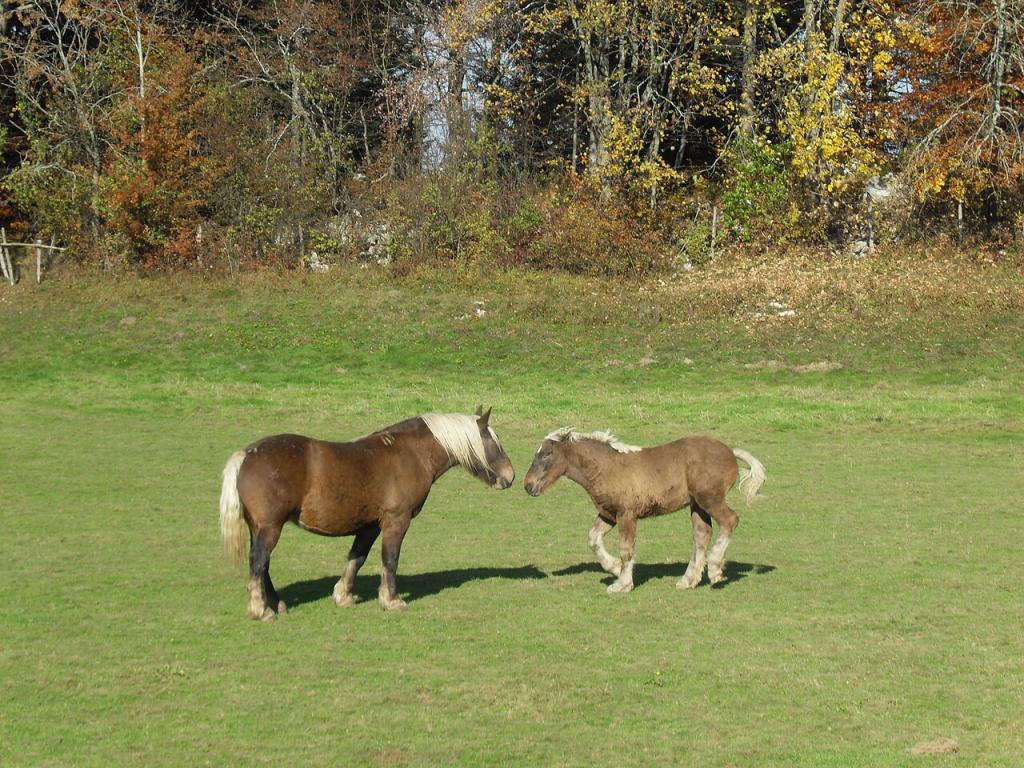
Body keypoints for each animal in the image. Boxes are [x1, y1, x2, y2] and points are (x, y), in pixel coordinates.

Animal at [219, 407, 515, 619]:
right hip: (270, 527)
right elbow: (390, 560)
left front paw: (344, 596)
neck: (409, 454)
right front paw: (392, 601)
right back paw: (262, 610)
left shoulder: (370, 525)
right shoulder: (396, 521)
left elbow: (357, 558)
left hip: (261, 527)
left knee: (263, 564)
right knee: (259, 562)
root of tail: (246, 454)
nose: (510, 476)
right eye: (492, 442)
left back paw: (276, 604)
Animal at [523, 427, 765, 593]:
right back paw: (688, 580)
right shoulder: (608, 514)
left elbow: (626, 548)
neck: (606, 467)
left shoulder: (626, 515)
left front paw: (622, 584)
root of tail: (730, 452)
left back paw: (715, 570)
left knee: (730, 520)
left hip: (710, 499)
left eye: (546, 454)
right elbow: (593, 538)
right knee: (702, 535)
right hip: (697, 505)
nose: (527, 485)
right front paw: (613, 568)